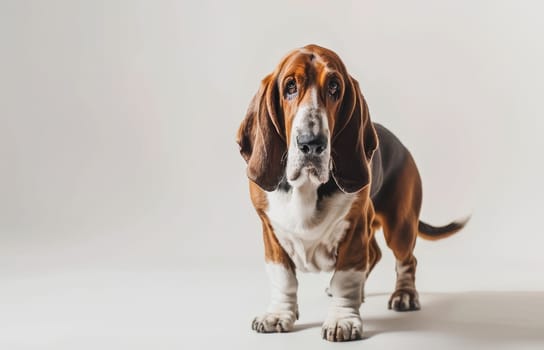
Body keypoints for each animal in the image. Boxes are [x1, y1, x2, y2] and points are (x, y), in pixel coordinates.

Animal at [237, 44, 468, 342]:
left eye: (334, 86)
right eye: (290, 86)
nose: (311, 143)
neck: (307, 187)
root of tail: (402, 146)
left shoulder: (355, 225)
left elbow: (345, 277)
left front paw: (342, 320)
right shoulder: (271, 232)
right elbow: (283, 277)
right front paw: (278, 315)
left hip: (400, 225)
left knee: (406, 259)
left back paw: (404, 295)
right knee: (376, 254)